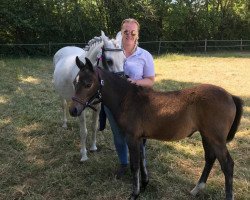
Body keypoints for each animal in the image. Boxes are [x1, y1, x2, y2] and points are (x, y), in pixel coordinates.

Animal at [54, 31, 126, 162]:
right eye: (109, 61)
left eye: (124, 59)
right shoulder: (80, 108)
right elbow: (83, 131)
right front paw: (84, 155)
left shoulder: (97, 107)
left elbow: (94, 127)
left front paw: (93, 147)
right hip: (62, 95)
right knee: (64, 106)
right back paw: (65, 124)